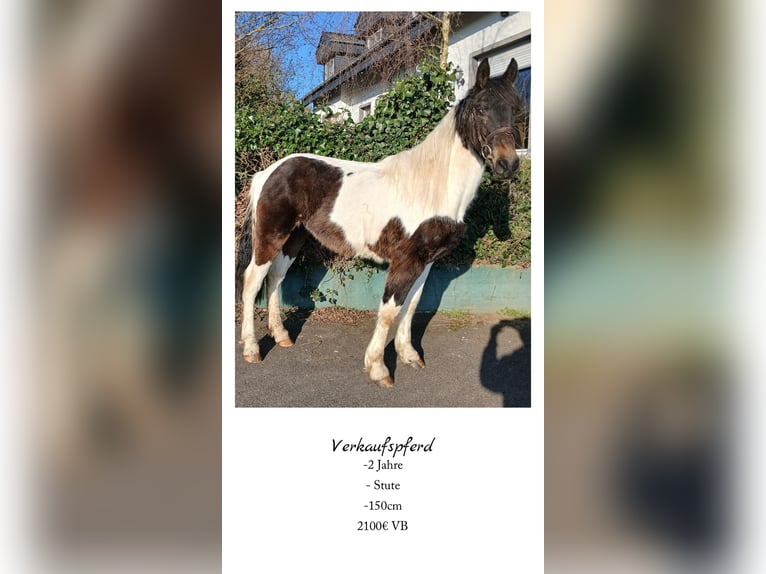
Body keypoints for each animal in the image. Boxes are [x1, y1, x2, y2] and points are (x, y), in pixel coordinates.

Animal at [236, 57, 525, 387]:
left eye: (516, 108)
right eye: (481, 109)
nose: (507, 164)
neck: (432, 186)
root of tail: (269, 171)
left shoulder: (426, 262)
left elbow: (411, 306)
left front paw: (409, 355)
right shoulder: (405, 260)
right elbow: (390, 310)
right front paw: (378, 368)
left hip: (293, 239)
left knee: (275, 278)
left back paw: (281, 336)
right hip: (271, 236)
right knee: (252, 281)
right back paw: (252, 349)